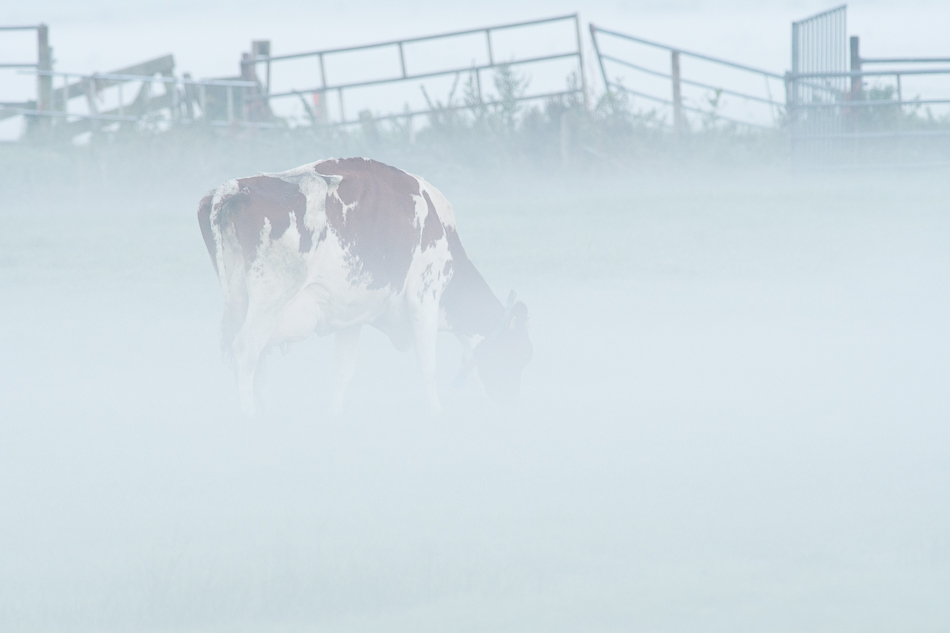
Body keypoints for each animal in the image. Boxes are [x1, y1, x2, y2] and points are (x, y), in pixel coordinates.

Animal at [197, 157, 532, 414]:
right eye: (521, 353)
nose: (513, 407)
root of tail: (234, 188)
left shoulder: (351, 316)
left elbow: (342, 371)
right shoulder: (425, 296)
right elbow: (428, 364)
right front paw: (437, 413)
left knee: (258, 363)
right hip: (269, 301)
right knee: (246, 353)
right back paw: (250, 418)